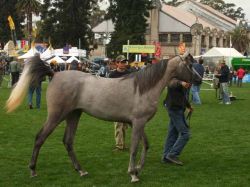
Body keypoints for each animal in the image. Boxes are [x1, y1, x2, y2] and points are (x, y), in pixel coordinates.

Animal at [5, 51, 201, 183]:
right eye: (190, 65)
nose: (199, 80)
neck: (143, 88)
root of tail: (55, 73)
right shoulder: (138, 123)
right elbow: (135, 148)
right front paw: (133, 174)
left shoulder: (137, 124)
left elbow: (146, 145)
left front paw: (138, 168)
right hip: (56, 115)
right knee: (40, 138)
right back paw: (33, 170)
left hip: (74, 115)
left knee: (68, 141)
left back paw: (81, 171)